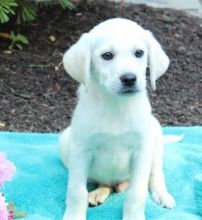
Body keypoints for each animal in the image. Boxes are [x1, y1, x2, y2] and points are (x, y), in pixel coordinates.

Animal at [58, 17, 175, 220]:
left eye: (139, 53)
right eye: (107, 55)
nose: (129, 78)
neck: (116, 104)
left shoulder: (141, 151)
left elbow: (137, 193)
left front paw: (134, 216)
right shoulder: (81, 151)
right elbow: (76, 191)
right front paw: (74, 215)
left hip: (155, 138)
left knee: (155, 175)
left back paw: (162, 195)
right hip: (65, 141)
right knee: (107, 184)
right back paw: (97, 193)